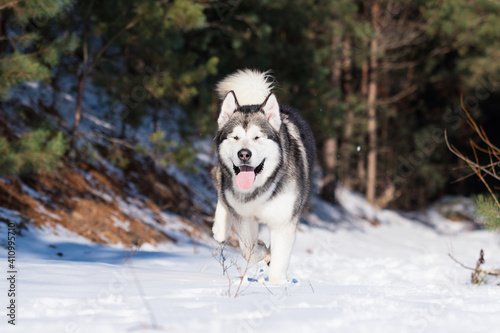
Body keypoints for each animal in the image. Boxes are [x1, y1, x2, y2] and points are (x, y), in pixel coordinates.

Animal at [212, 68, 316, 282]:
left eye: (257, 137)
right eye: (235, 137)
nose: (244, 154)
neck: (259, 188)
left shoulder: (283, 223)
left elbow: (277, 264)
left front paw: (277, 284)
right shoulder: (244, 218)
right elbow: (249, 251)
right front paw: (264, 251)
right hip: (223, 178)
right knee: (221, 193)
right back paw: (220, 227)